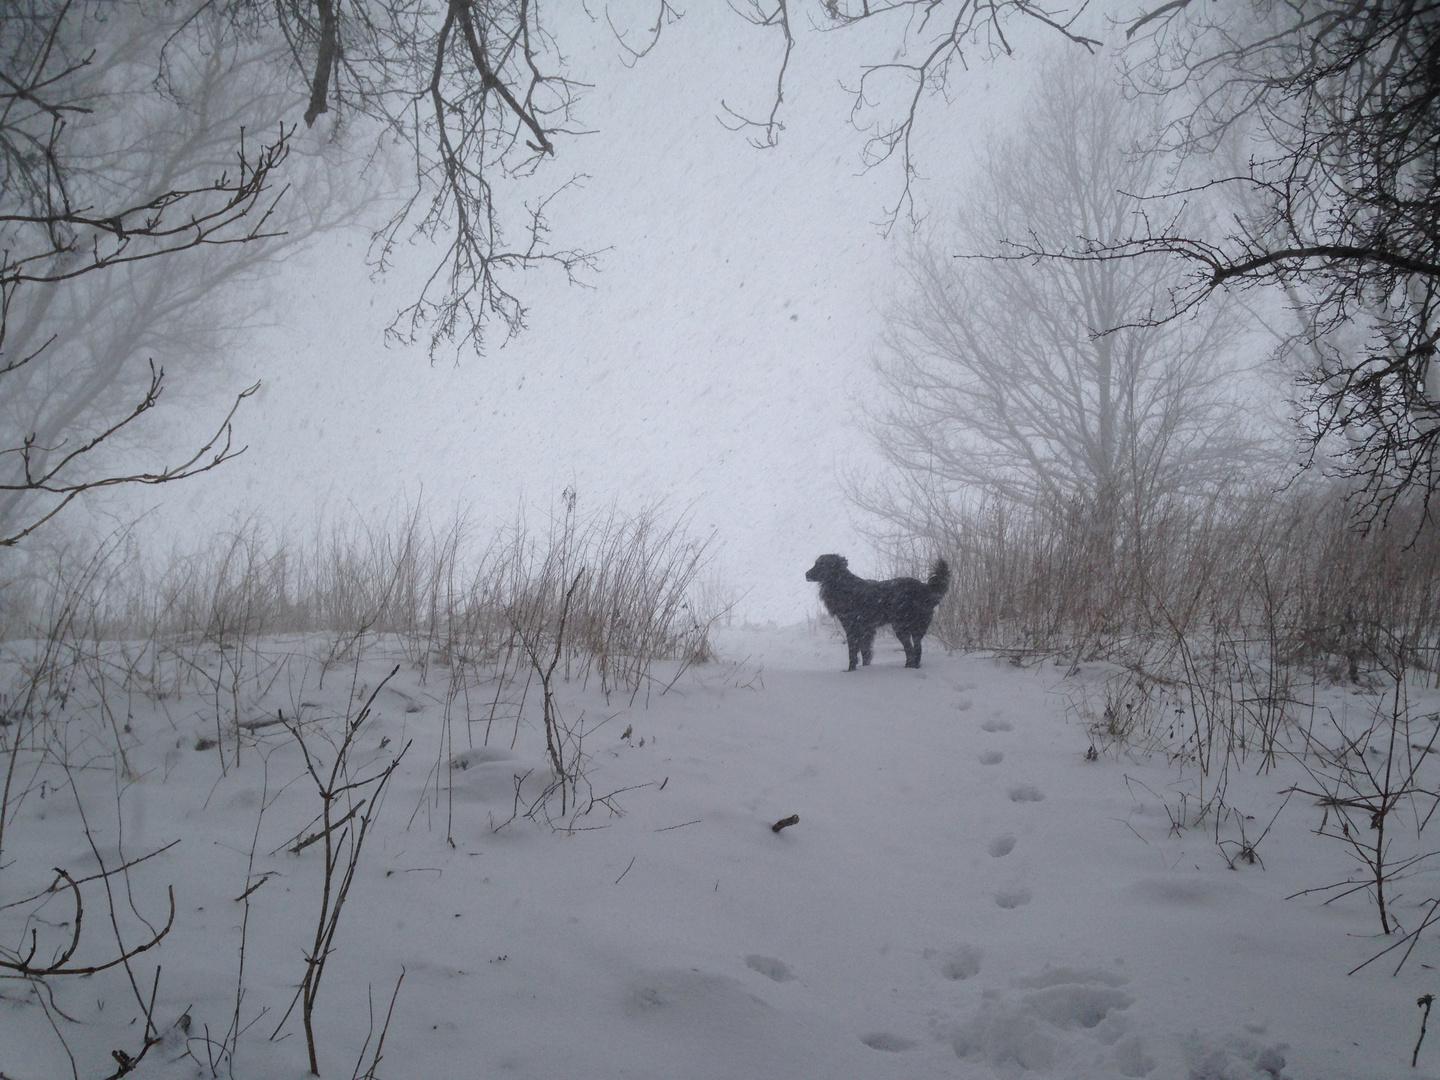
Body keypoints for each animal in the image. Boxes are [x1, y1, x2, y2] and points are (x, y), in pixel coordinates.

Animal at [806, 558, 950, 668]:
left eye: (820, 564)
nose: (806, 574)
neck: (842, 585)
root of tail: (925, 588)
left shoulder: (852, 627)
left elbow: (853, 652)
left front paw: (851, 670)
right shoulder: (866, 631)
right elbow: (866, 652)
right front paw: (866, 668)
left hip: (900, 626)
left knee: (910, 649)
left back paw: (908, 668)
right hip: (915, 629)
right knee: (917, 648)